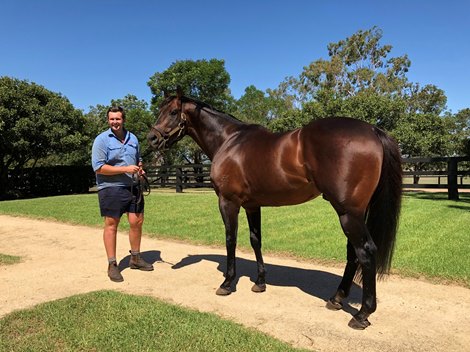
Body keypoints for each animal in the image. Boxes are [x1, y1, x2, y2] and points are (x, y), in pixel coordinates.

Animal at [149, 89, 402, 328]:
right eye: (160, 110)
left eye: (173, 112)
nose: (152, 138)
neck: (229, 141)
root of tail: (372, 130)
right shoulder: (252, 205)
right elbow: (255, 240)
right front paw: (260, 283)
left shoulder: (228, 202)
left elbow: (230, 240)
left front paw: (227, 283)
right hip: (354, 213)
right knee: (353, 253)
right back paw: (337, 298)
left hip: (348, 214)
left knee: (365, 251)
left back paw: (362, 314)